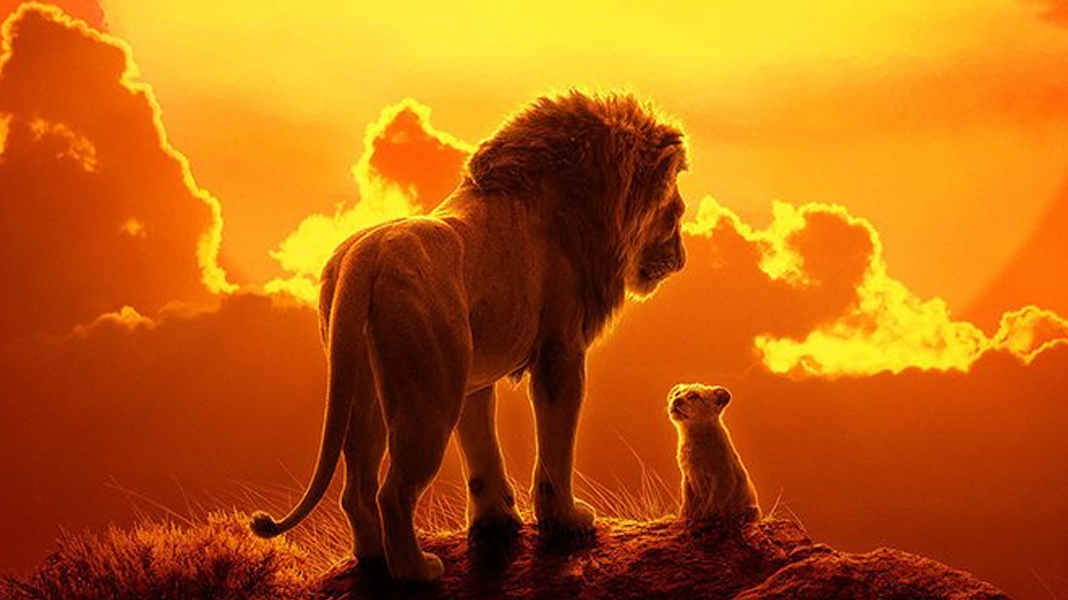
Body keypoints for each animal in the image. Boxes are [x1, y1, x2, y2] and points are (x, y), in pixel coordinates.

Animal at [250, 91, 688, 583]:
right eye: (676, 214)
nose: (682, 259)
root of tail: (364, 257)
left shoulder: (474, 375)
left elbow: (481, 451)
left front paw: (496, 521)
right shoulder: (560, 352)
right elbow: (556, 448)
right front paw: (567, 521)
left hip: (365, 387)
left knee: (358, 487)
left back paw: (374, 560)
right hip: (429, 395)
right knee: (393, 492)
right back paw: (417, 572)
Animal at [668, 383, 761, 524]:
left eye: (694, 395)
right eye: (677, 393)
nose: (676, 401)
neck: (692, 437)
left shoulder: (724, 477)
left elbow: (714, 502)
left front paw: (706, 518)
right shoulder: (687, 476)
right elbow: (687, 501)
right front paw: (684, 517)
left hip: (753, 510)